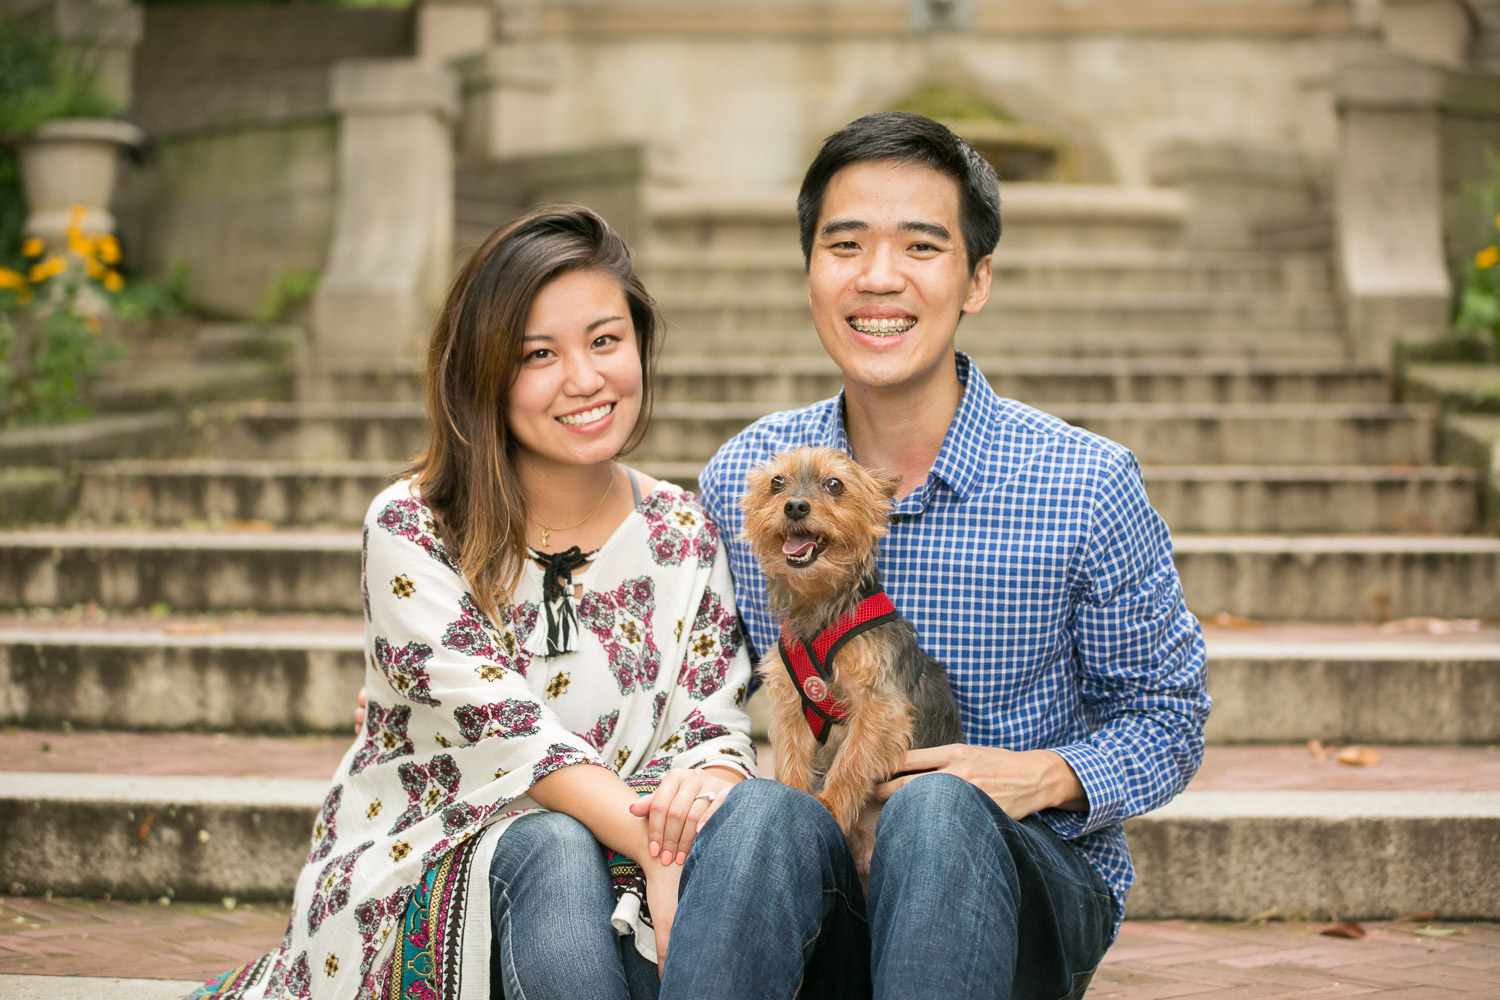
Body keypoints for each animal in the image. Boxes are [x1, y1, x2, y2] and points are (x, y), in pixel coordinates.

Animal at [744, 449, 966, 833]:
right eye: (776, 482)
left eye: (835, 484)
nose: (795, 506)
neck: (821, 607)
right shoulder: (792, 705)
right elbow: (791, 755)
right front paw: (791, 793)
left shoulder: (879, 705)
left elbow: (852, 758)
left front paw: (832, 805)